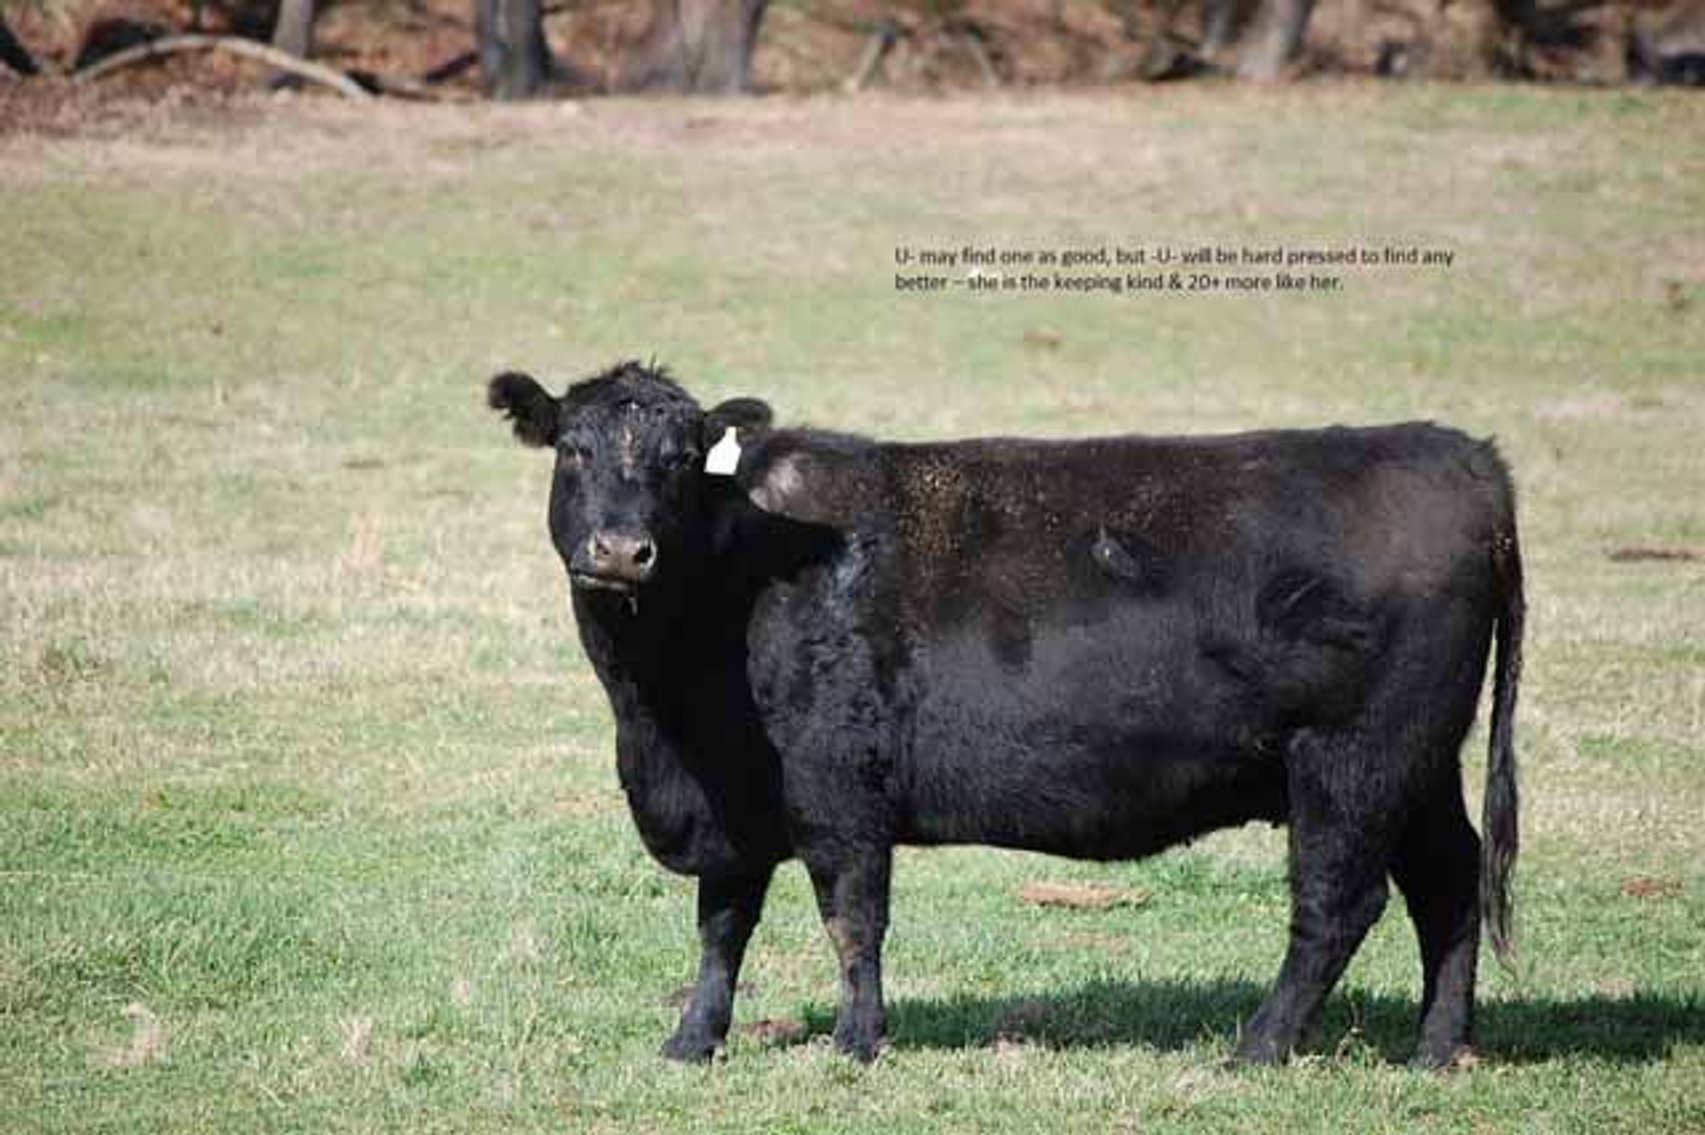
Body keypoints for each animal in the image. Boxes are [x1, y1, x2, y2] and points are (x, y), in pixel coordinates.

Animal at [486, 360, 1524, 1068]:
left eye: (678, 461)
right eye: (574, 449)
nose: (621, 550)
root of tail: (1462, 455)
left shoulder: (837, 789)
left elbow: (851, 915)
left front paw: (856, 1041)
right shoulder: (735, 805)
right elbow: (722, 925)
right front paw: (692, 1039)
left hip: (1350, 759)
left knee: (1338, 901)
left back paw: (1256, 1046)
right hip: (1418, 764)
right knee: (1447, 881)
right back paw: (1438, 1047)